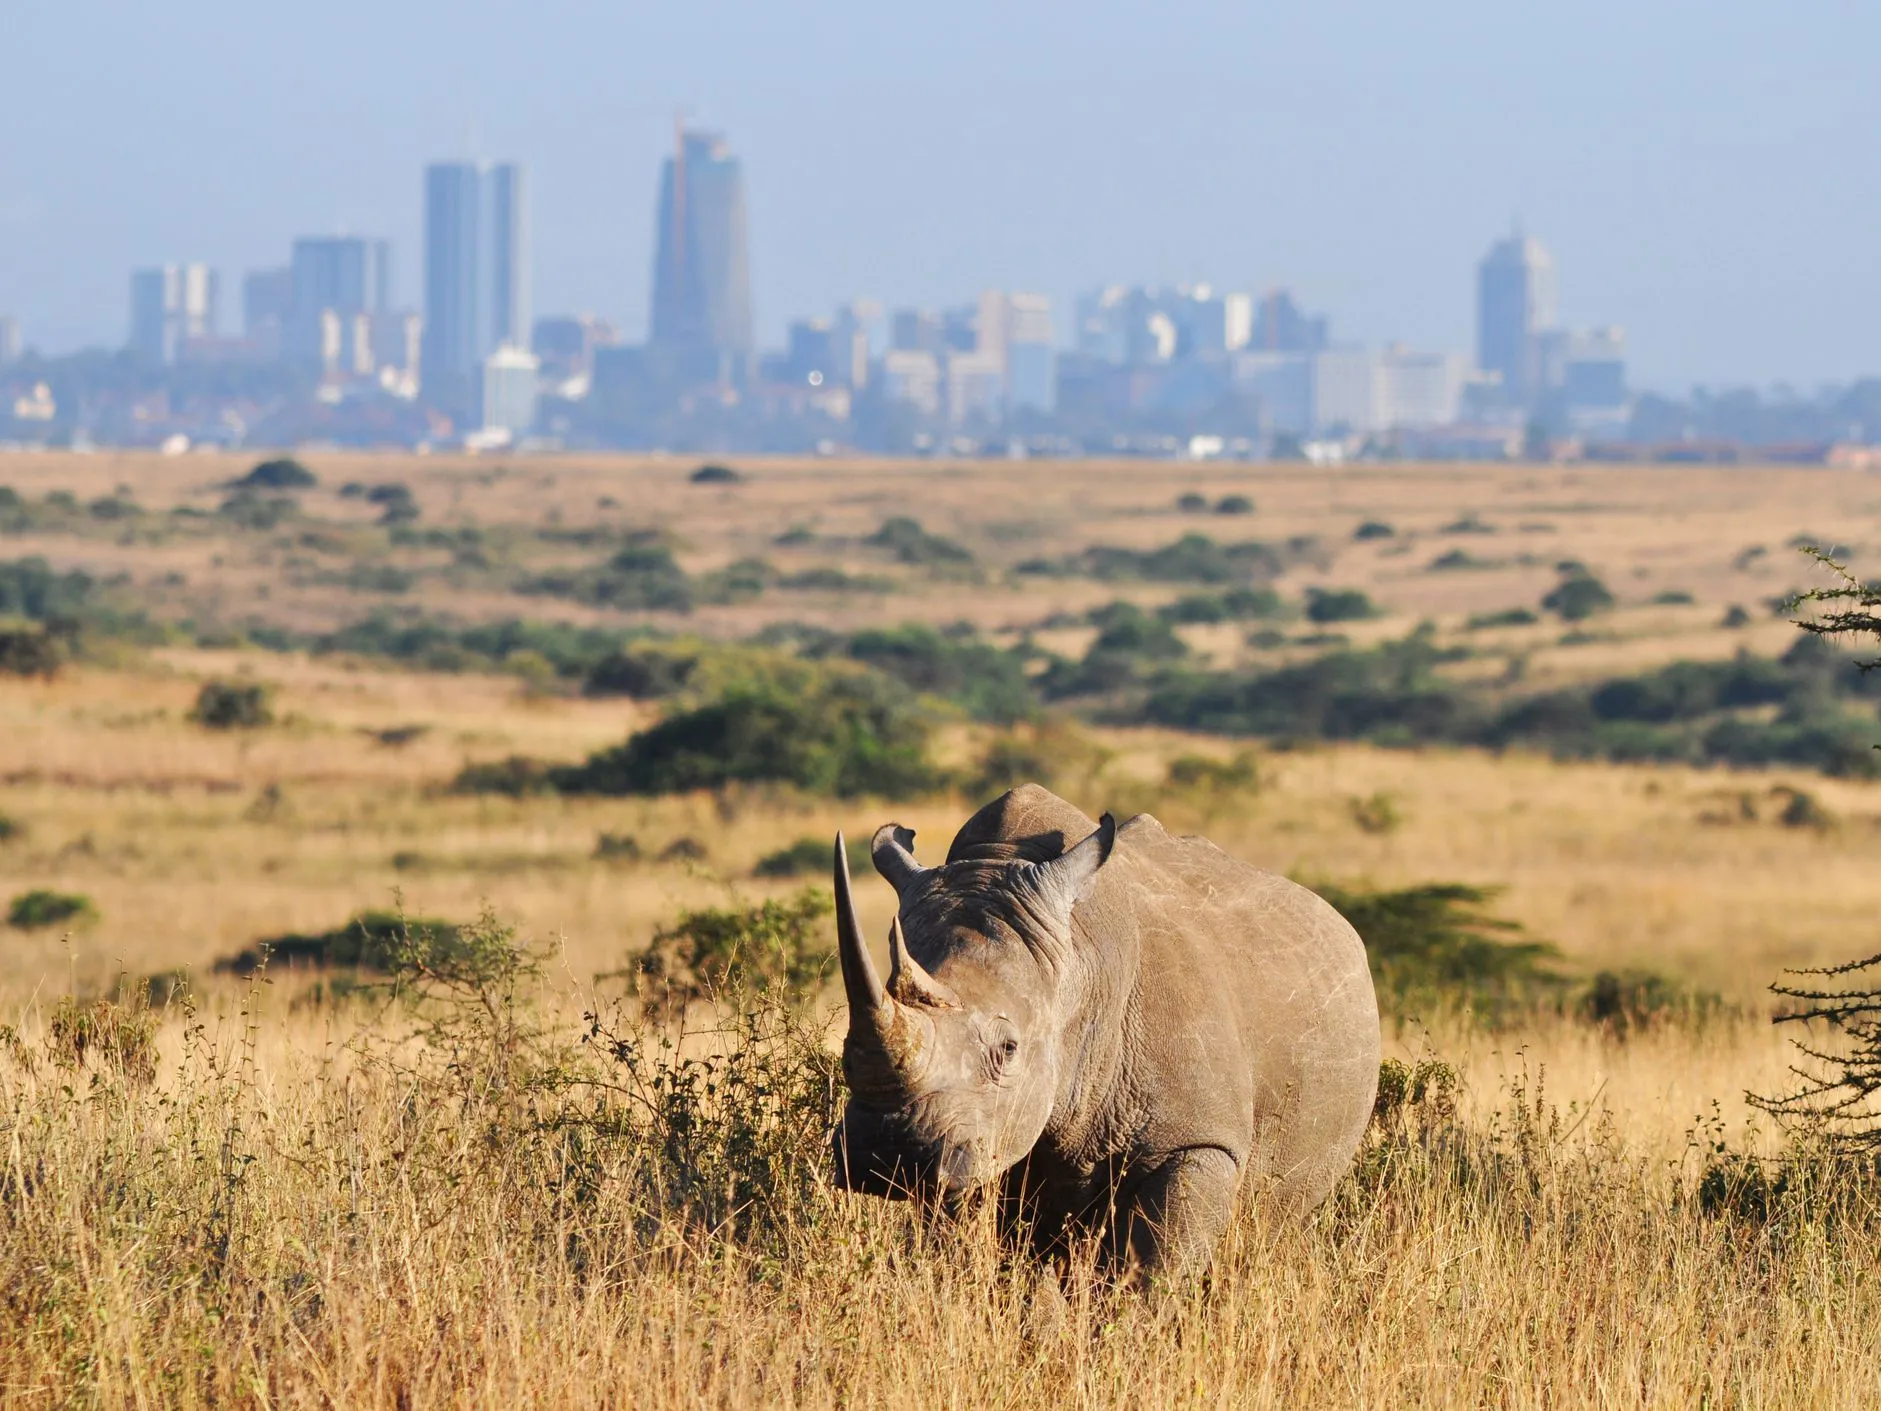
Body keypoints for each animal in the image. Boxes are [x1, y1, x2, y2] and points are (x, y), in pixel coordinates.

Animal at [831, 784, 1379, 1285]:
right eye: (845, 1056)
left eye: (1008, 1050)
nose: (889, 1151)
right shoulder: (977, 1140)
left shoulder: (1197, 1142)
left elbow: (1153, 1273)